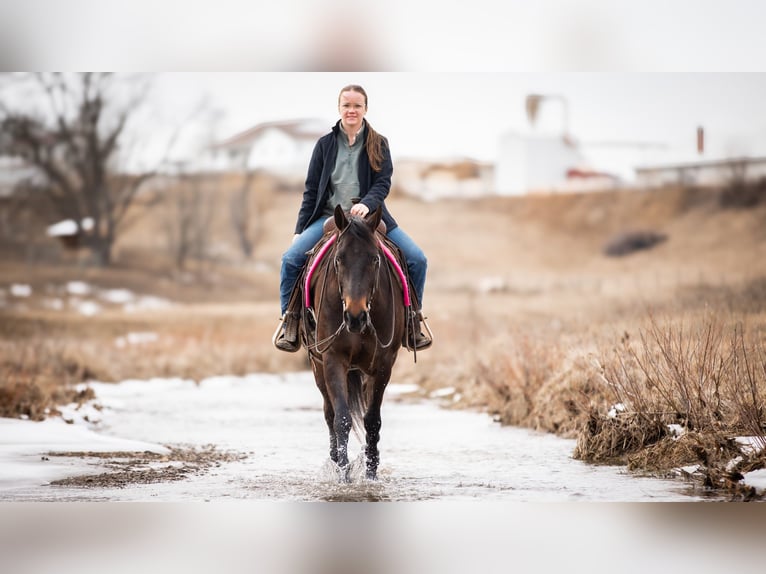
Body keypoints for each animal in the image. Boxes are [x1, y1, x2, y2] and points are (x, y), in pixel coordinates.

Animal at [302, 205, 412, 484]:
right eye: (338, 260)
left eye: (375, 260)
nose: (355, 316)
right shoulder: (333, 359)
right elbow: (341, 419)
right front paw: (343, 475)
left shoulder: (383, 364)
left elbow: (372, 420)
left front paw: (371, 474)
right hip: (318, 367)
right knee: (329, 413)